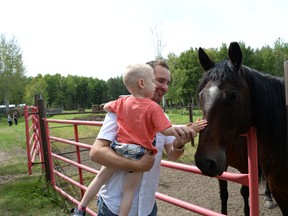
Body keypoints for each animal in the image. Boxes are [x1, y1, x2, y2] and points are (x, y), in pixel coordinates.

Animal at [194, 41, 288, 214]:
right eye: (201, 96)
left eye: (233, 96)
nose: (204, 161)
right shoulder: (222, 165)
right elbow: (223, 193)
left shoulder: (246, 167)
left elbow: (245, 191)